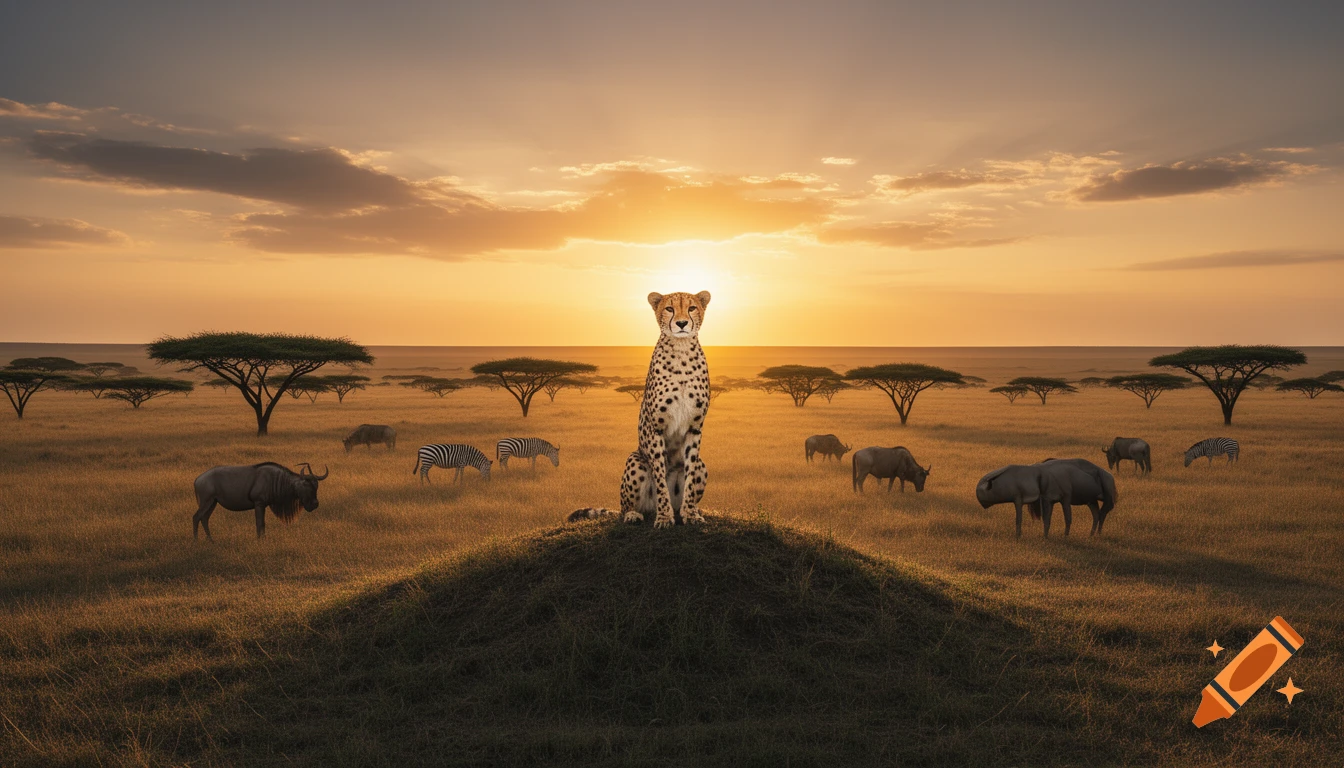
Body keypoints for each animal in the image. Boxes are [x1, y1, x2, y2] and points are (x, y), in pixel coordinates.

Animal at [569, 290, 712, 528]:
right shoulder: (656, 427)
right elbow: (660, 477)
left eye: (692, 308)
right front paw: (664, 517)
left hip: (702, 464)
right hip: (635, 461)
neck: (681, 350)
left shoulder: (695, 427)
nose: (682, 323)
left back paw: (685, 510)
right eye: (669, 308)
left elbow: (690, 477)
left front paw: (690, 514)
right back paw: (634, 514)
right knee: (627, 507)